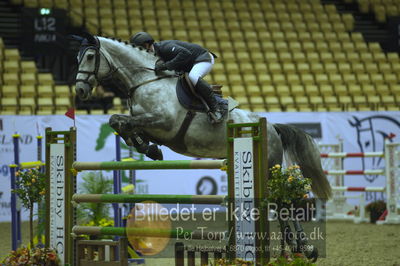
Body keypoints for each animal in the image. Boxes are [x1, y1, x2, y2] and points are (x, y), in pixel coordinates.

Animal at [75, 33, 332, 200]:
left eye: (89, 57)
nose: (79, 91)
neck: (146, 79)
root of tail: (271, 127)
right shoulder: (147, 124)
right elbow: (120, 123)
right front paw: (149, 149)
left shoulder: (163, 122)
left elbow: (122, 121)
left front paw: (149, 148)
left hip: (269, 169)